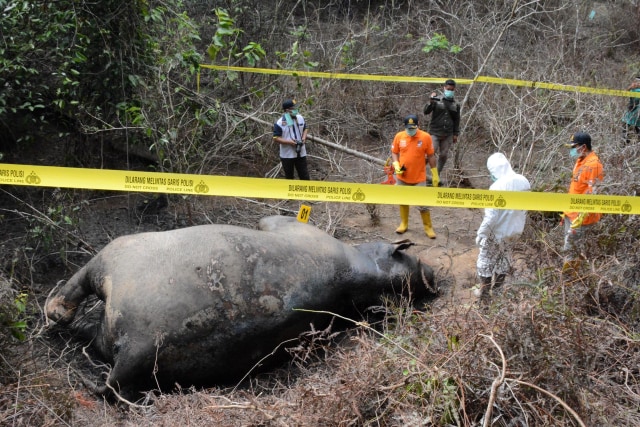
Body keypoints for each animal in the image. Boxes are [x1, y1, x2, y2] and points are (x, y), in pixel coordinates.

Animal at [45, 216, 436, 396]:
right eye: (412, 260)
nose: (434, 278)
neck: (357, 274)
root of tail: (132, 353)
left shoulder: (288, 224)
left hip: (113, 257)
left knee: (72, 295)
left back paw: (57, 310)